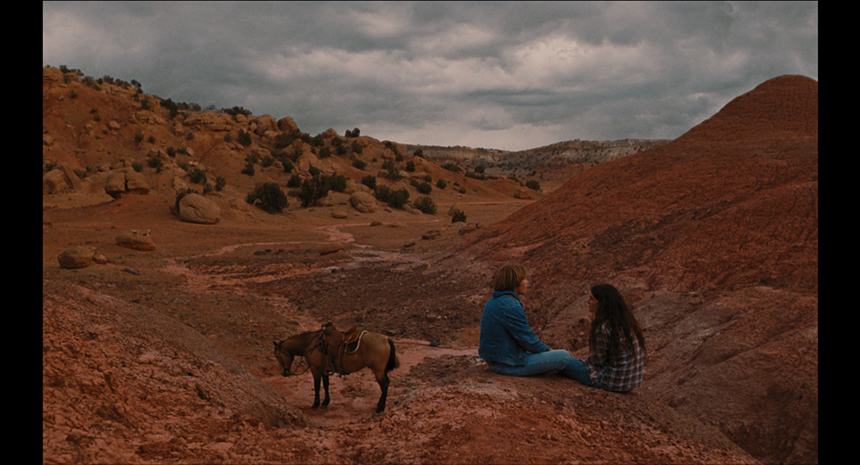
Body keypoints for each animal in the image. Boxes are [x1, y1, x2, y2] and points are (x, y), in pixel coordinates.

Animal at [272, 324, 400, 412]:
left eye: (277, 356)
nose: (283, 373)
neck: (311, 344)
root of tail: (386, 339)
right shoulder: (324, 370)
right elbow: (326, 385)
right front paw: (325, 402)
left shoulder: (315, 369)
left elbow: (317, 386)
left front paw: (315, 404)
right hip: (382, 370)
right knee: (386, 384)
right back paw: (379, 405)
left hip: (378, 370)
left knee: (384, 385)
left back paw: (380, 408)